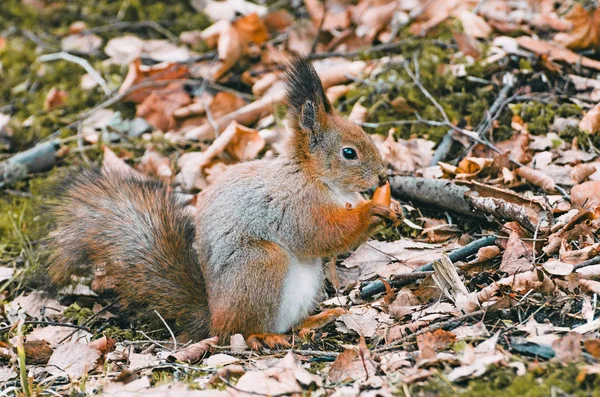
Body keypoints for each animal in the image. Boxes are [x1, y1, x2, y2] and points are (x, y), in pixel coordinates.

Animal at [45, 57, 394, 348]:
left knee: (287, 324)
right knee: (238, 331)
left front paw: (391, 208)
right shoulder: (295, 204)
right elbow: (320, 234)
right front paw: (371, 212)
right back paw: (262, 336)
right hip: (261, 265)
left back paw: (315, 319)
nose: (383, 175)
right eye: (349, 153)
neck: (316, 177)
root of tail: (213, 315)